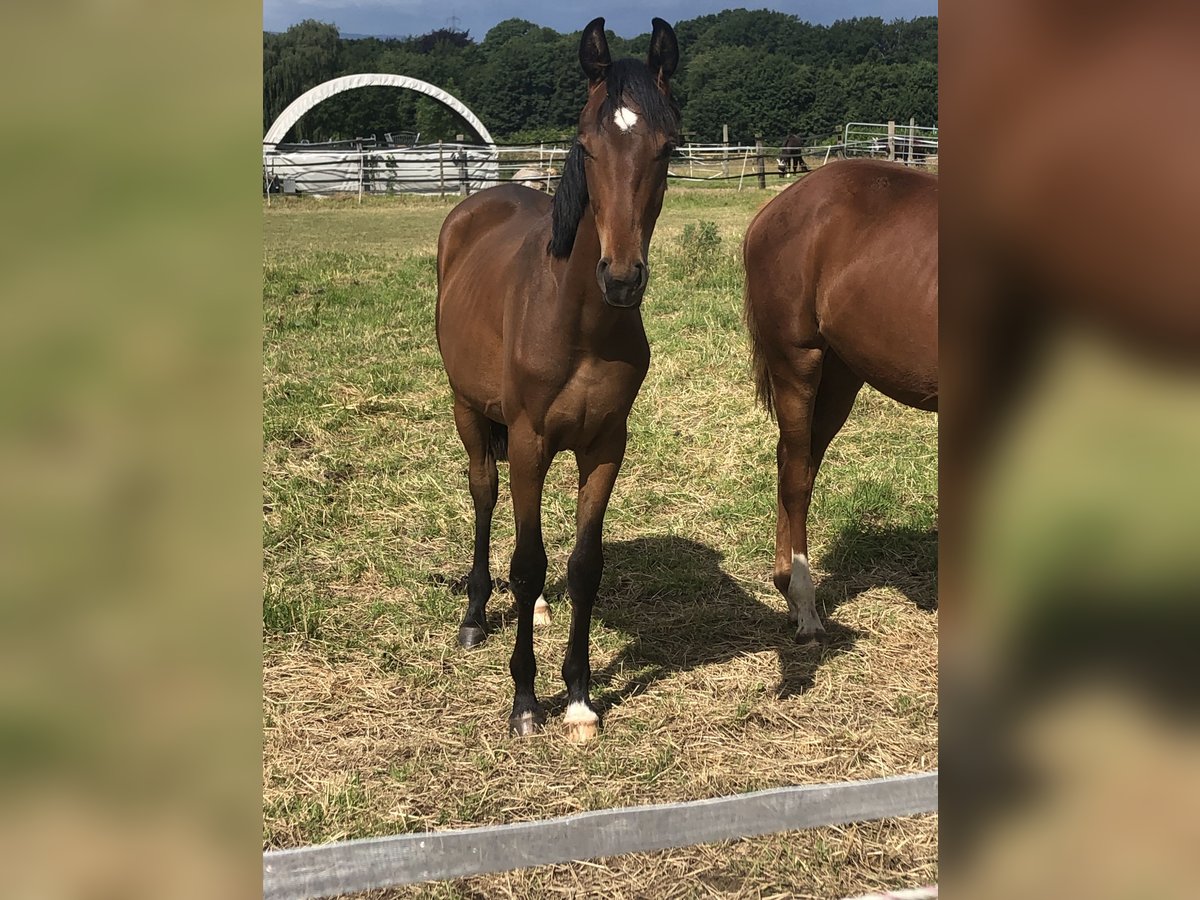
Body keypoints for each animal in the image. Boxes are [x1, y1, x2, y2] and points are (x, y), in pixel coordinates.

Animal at [436, 17, 681, 744]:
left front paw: (577, 695)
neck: (578, 324)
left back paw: (539, 610)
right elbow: (527, 561)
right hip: (471, 413)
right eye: (587, 147)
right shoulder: (528, 440)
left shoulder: (604, 446)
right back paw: (473, 617)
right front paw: (524, 700)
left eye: (667, 147)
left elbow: (582, 564)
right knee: (486, 497)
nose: (621, 278)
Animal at [739, 162, 936, 643]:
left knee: (796, 462)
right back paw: (806, 608)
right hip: (797, 362)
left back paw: (789, 593)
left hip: (842, 375)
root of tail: (772, 209)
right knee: (795, 476)